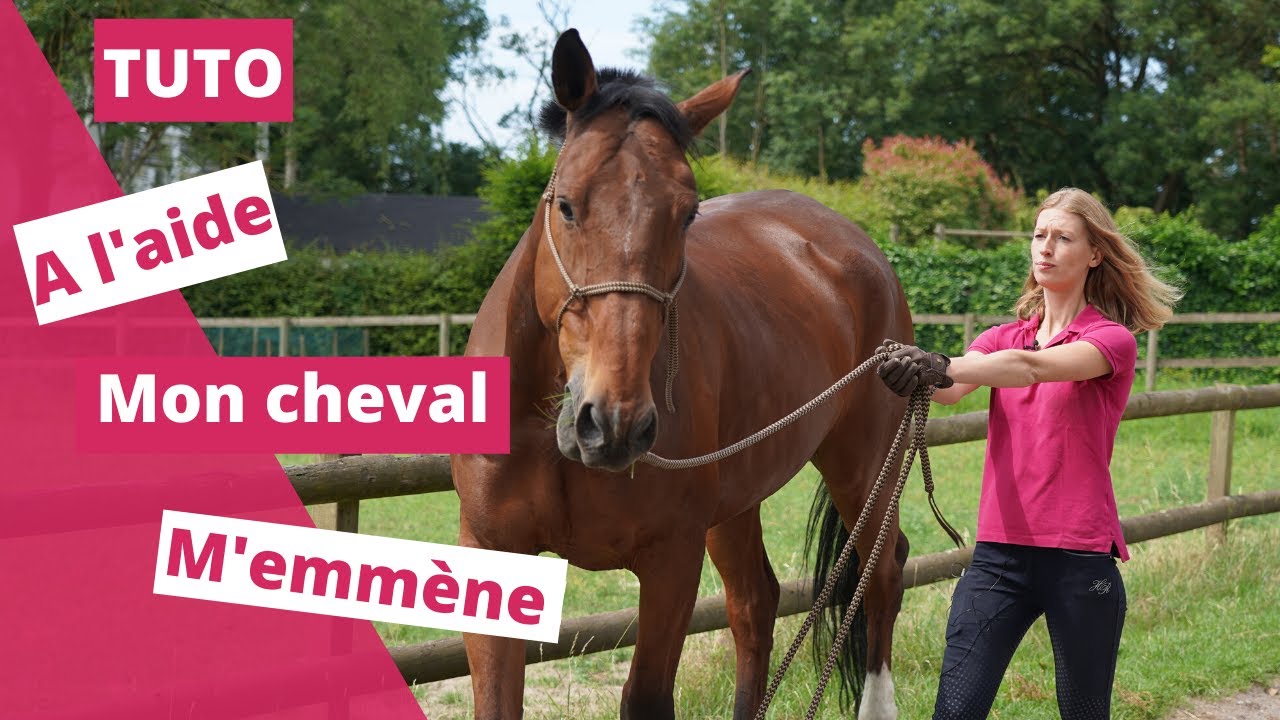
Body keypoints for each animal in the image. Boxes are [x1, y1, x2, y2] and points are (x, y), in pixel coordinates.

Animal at [452, 29, 914, 720]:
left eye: (689, 213)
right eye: (567, 206)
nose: (614, 422)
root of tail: (859, 247)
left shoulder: (671, 560)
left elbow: (646, 696)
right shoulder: (493, 555)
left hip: (864, 462)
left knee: (880, 572)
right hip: (739, 499)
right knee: (756, 603)